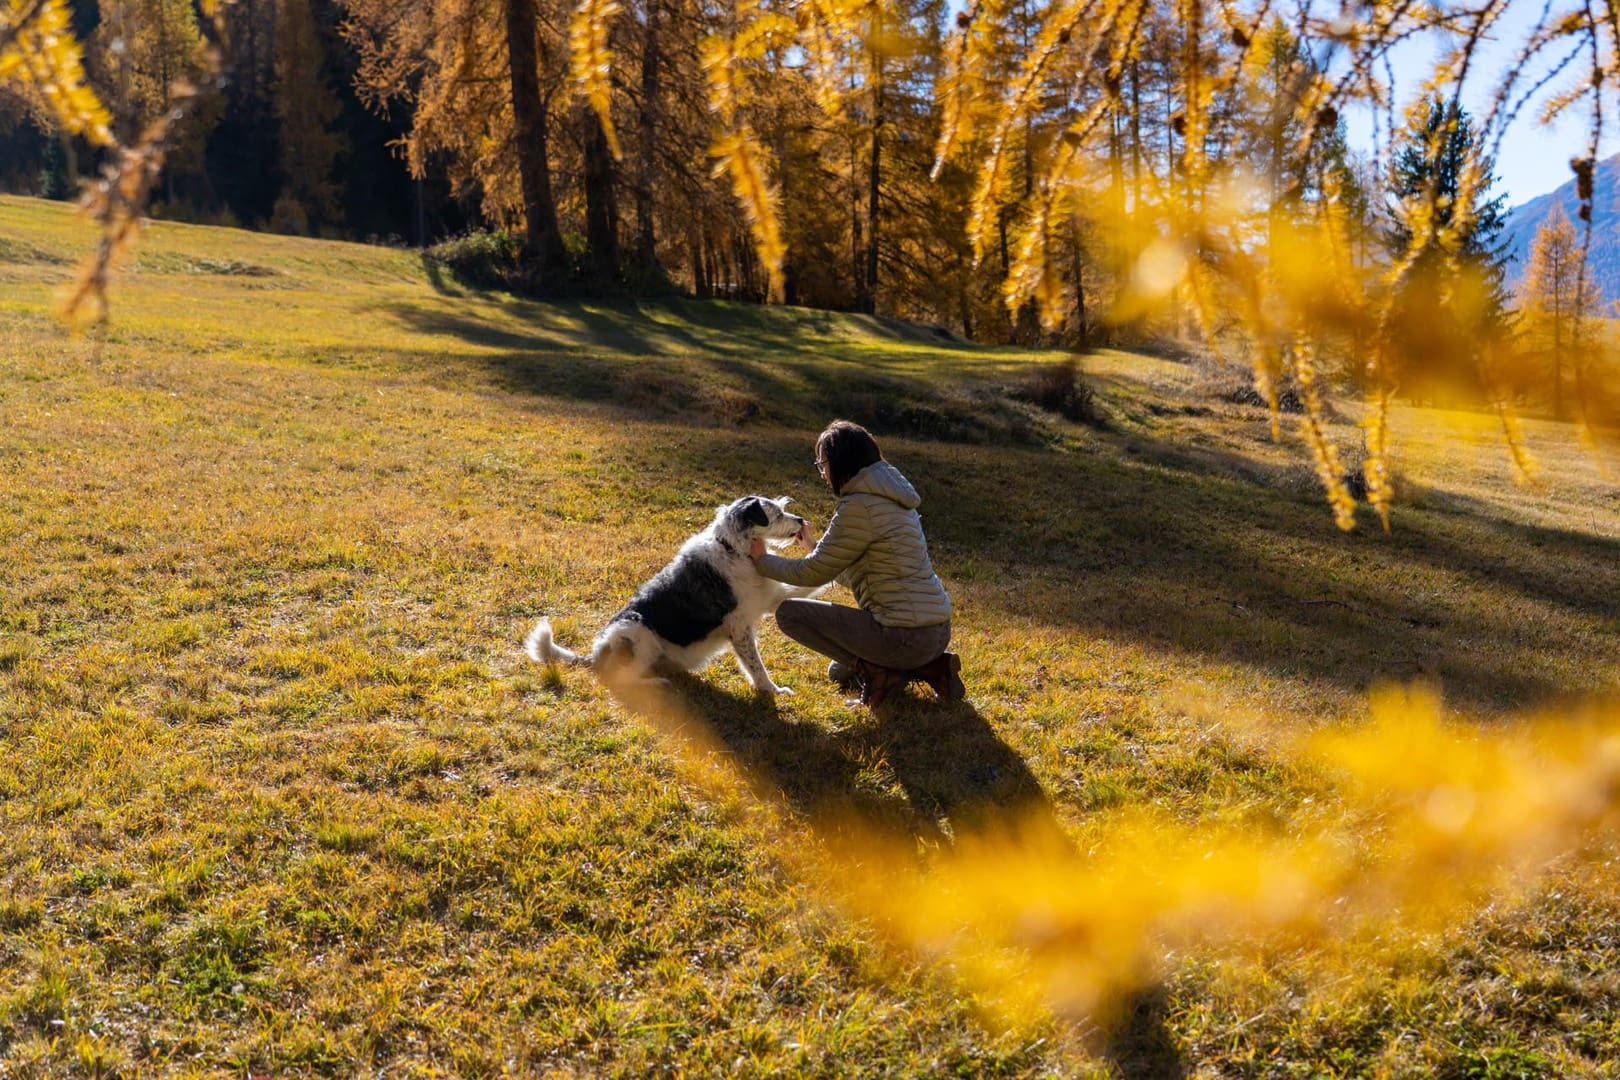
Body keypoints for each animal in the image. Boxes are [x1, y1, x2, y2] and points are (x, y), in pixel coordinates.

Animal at [524, 495, 816, 696]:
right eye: (776, 514)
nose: (801, 521)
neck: (732, 548)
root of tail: (596, 654)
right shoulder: (740, 628)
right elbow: (756, 666)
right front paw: (772, 691)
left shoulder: (772, 599)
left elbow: (810, 586)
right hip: (638, 634)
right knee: (621, 681)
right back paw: (657, 684)